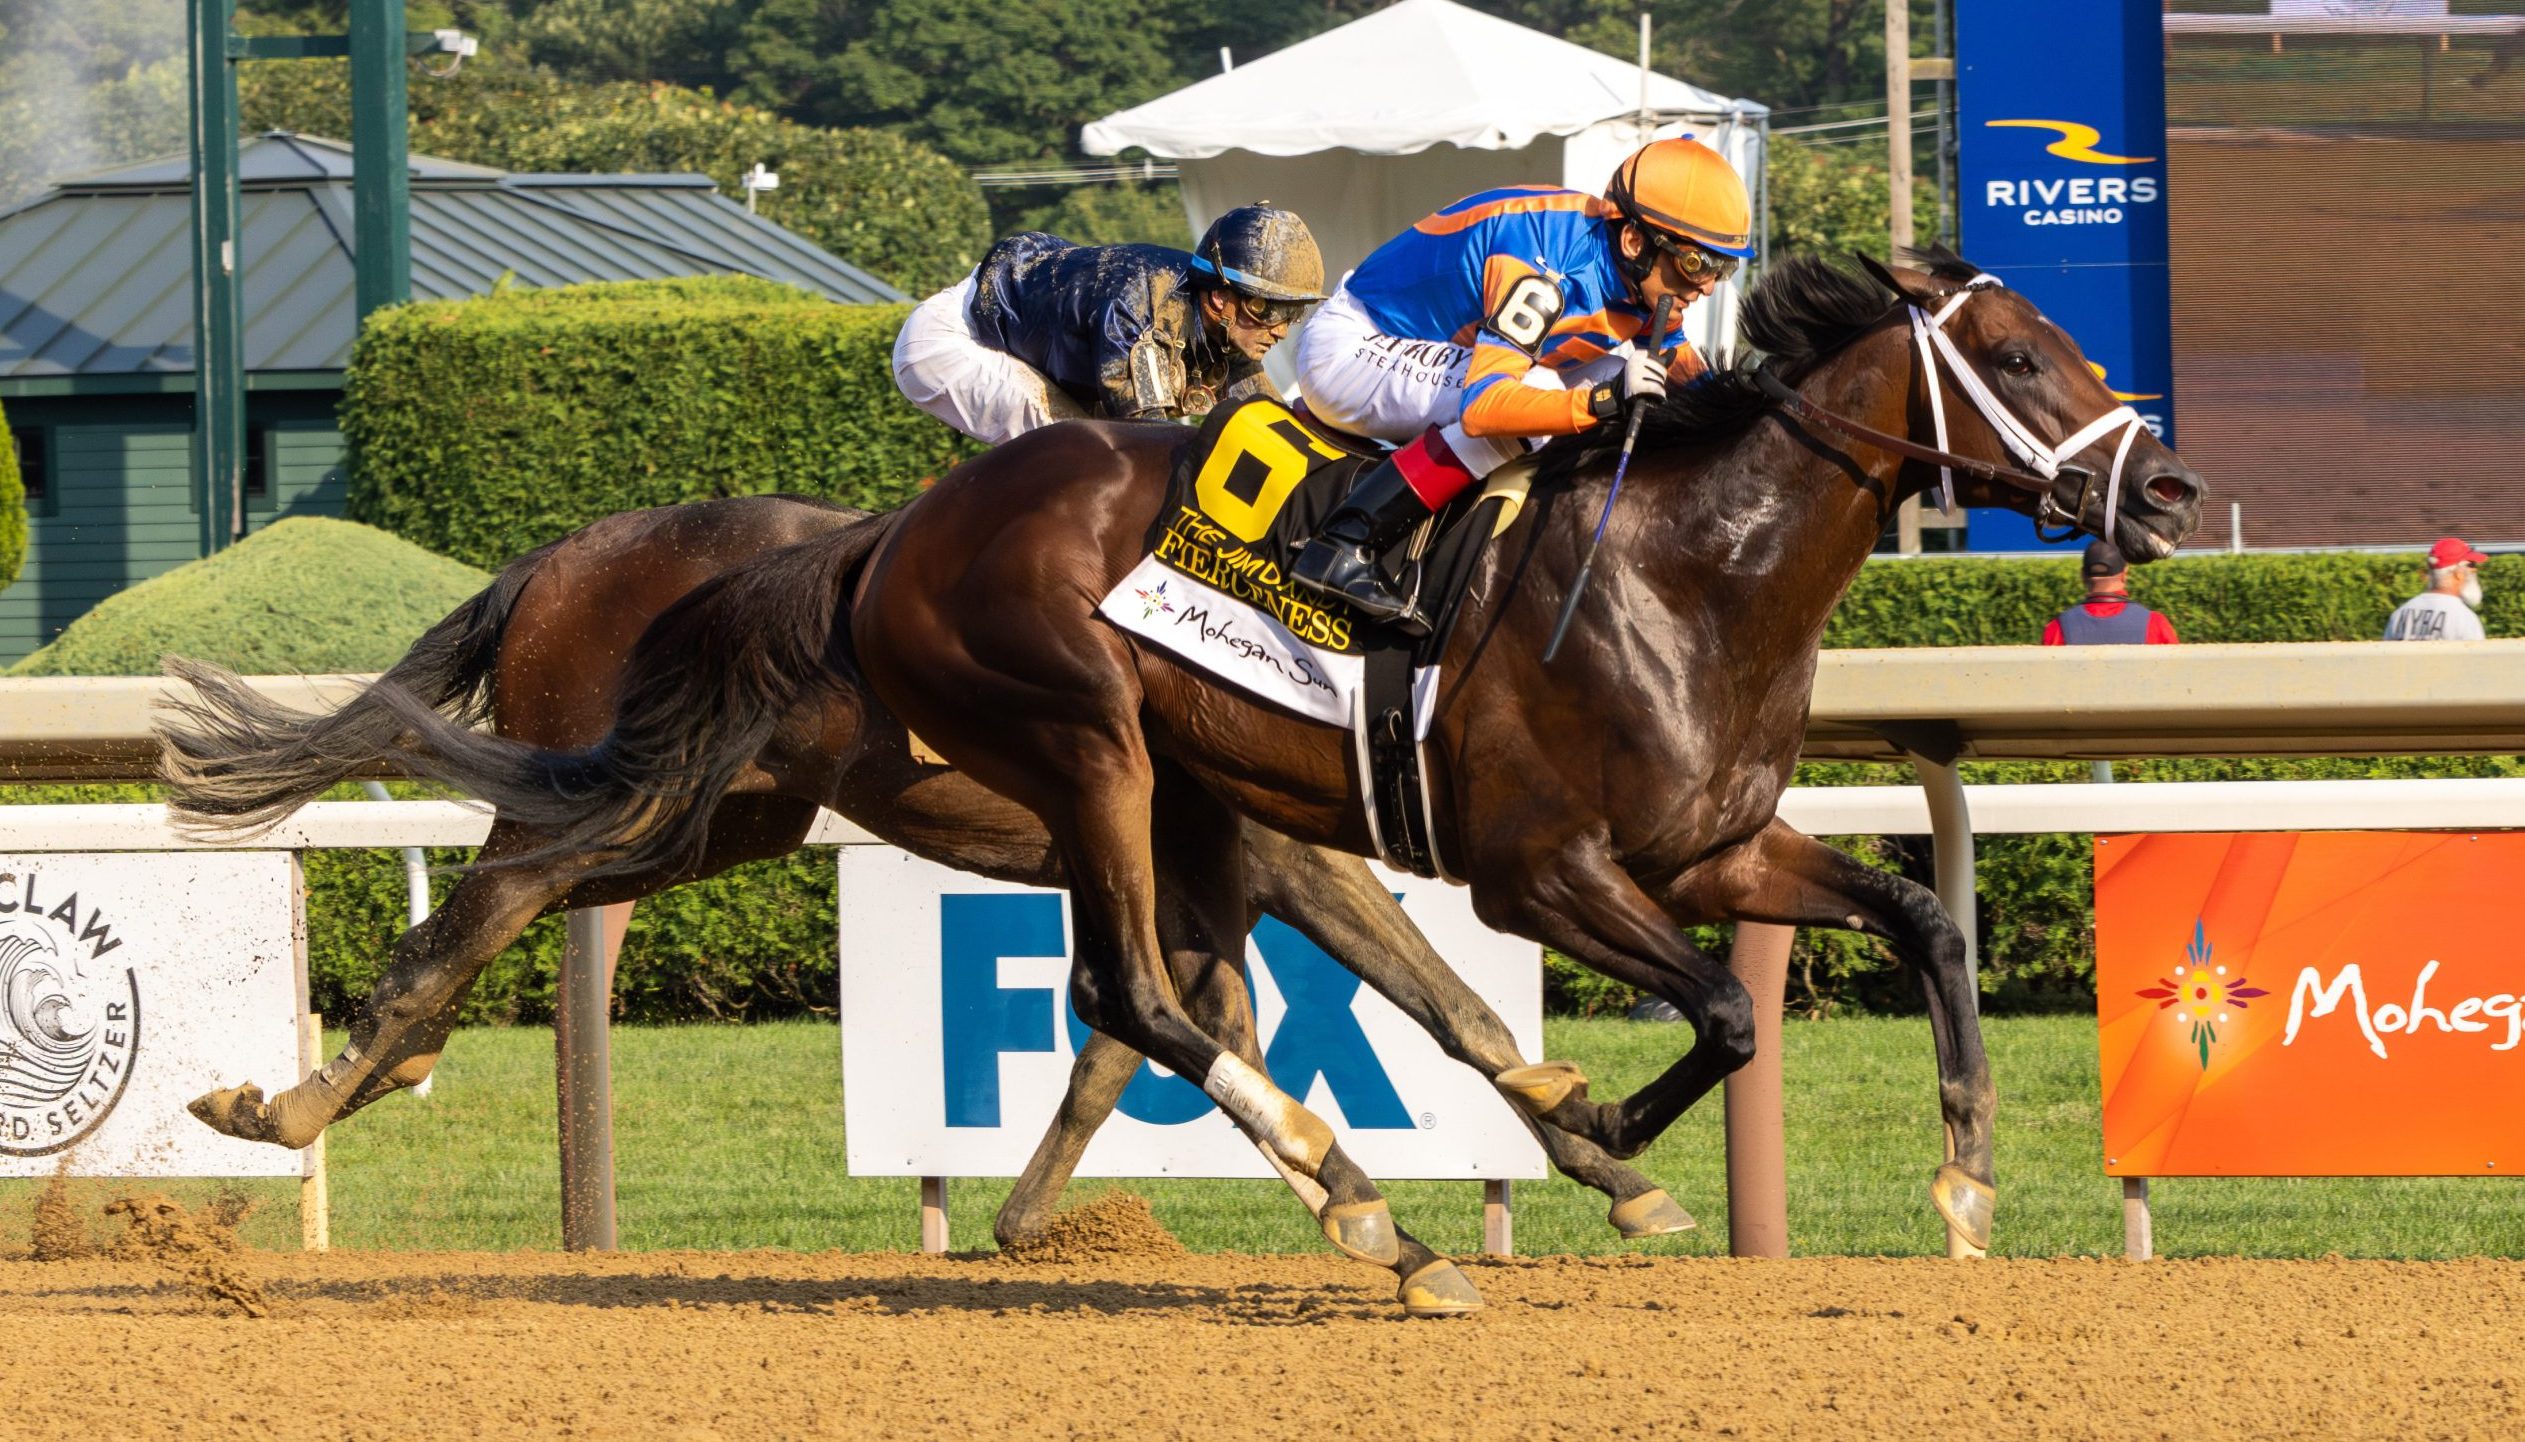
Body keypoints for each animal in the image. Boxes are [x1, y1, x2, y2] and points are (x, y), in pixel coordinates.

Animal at [162, 489, 1676, 1313]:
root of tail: (554, 559)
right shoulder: (1272, 853)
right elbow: (1411, 1011)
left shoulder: (1217, 868)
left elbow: (1209, 1029)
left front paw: (1606, 1169)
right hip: (629, 794)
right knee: (487, 904)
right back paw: (313, 1088)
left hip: (710, 815)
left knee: (507, 905)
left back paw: (359, 1069)